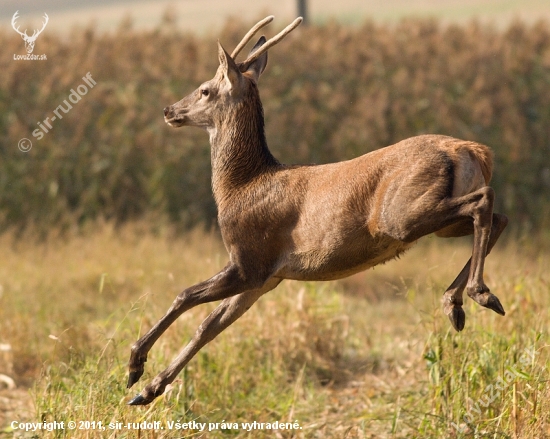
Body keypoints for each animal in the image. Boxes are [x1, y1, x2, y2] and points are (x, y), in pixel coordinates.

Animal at [127, 15, 512, 408]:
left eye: (205, 90)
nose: (169, 110)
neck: (239, 185)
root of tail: (472, 150)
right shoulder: (267, 277)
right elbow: (208, 327)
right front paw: (147, 390)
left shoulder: (250, 259)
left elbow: (185, 295)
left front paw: (134, 364)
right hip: (433, 219)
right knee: (497, 216)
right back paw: (454, 302)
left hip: (402, 215)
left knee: (485, 201)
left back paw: (478, 294)